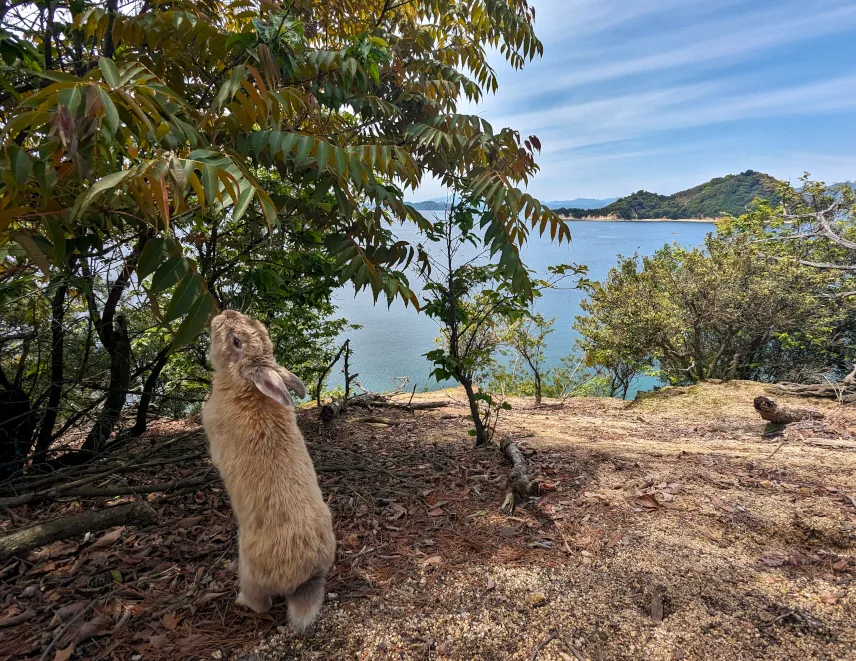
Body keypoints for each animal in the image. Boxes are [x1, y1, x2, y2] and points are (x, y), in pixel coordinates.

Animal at [201, 310, 334, 636]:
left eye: (236, 341)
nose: (225, 313)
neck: (243, 386)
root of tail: (304, 576)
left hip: (250, 569)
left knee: (261, 602)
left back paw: (241, 600)